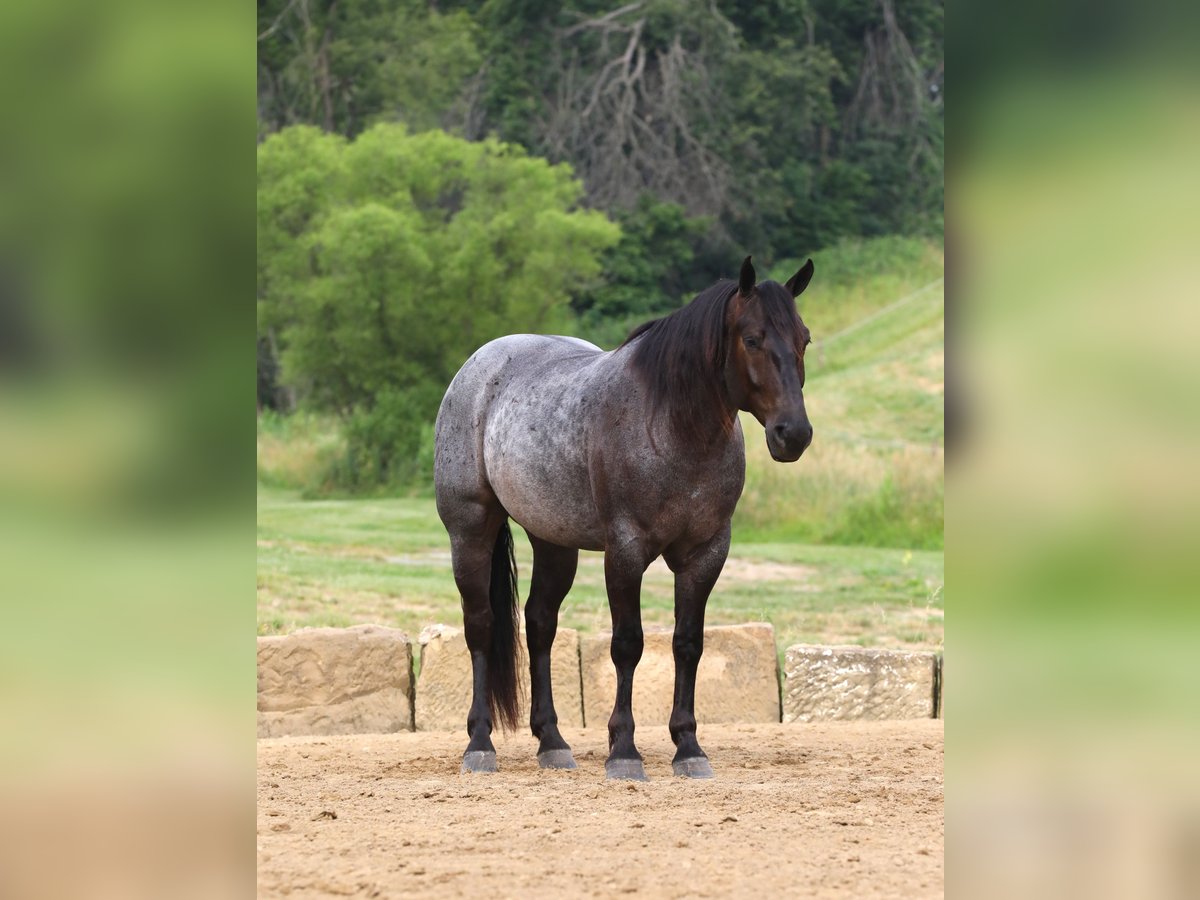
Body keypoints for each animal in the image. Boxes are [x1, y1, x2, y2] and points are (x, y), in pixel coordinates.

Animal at [434, 255, 816, 782]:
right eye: (753, 338)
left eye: (805, 338)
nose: (793, 433)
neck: (671, 426)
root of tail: (478, 365)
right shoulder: (626, 552)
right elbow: (628, 644)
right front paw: (624, 750)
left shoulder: (706, 554)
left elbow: (687, 643)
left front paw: (688, 747)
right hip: (470, 531)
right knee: (481, 626)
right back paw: (479, 743)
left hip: (555, 543)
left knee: (540, 624)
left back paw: (553, 742)